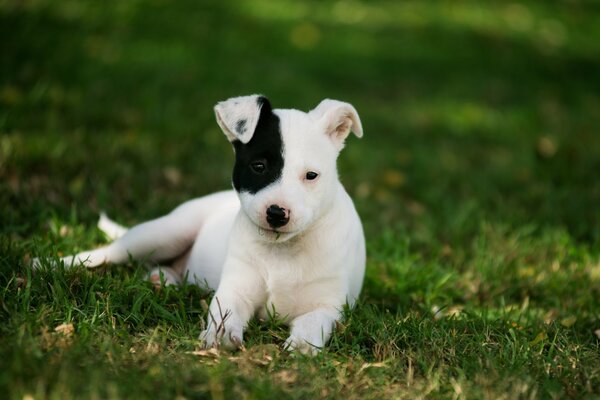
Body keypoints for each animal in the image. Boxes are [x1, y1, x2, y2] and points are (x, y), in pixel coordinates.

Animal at [38, 94, 366, 354]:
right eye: (258, 166)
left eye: (311, 176)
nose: (276, 213)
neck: (283, 251)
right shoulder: (235, 289)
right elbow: (225, 312)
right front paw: (221, 335)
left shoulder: (328, 305)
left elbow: (313, 322)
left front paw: (302, 346)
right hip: (164, 233)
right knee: (110, 252)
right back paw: (49, 264)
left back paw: (163, 279)